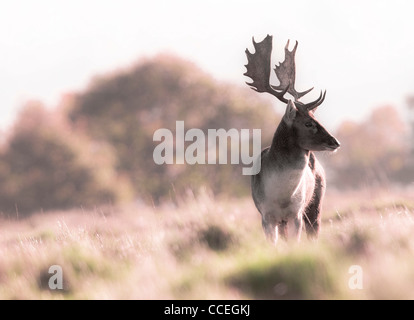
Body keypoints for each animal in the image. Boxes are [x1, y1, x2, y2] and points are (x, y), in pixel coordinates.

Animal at [244, 35, 338, 244]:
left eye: (315, 117)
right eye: (308, 123)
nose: (335, 142)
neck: (281, 197)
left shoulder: (296, 214)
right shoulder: (266, 216)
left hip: (316, 203)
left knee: (315, 231)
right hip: (283, 221)